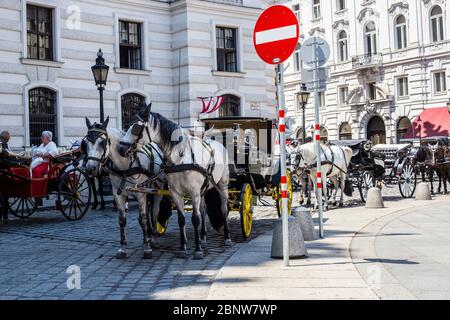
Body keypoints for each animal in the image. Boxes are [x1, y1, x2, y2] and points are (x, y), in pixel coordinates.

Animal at [83, 117, 164, 260]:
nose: (90, 169)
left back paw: (153, 237)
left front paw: (147, 248)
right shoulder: (118, 195)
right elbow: (122, 220)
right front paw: (123, 248)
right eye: (86, 142)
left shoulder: (141, 194)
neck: (125, 165)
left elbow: (142, 219)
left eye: (102, 142)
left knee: (154, 212)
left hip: (157, 191)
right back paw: (149, 234)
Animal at [118, 104, 232, 258]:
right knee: (203, 210)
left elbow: (195, 219)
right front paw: (183, 248)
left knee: (223, 209)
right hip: (203, 190)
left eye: (135, 127)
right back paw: (203, 238)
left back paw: (226, 238)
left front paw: (197, 250)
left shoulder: (194, 192)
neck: (181, 157)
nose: (120, 148)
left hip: (222, 186)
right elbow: (181, 219)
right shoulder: (176, 193)